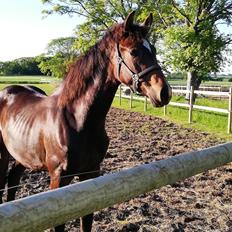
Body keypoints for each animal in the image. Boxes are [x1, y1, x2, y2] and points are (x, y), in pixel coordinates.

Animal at [0, 11, 170, 231]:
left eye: (154, 50)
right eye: (133, 52)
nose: (164, 92)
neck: (77, 120)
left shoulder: (91, 174)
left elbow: (86, 221)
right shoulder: (58, 179)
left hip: (24, 156)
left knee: (13, 180)